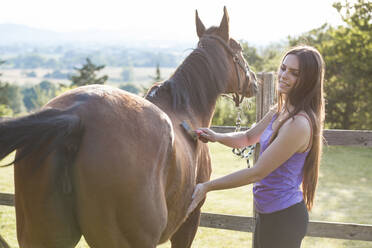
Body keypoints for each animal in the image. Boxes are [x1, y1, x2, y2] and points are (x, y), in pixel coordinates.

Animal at [0, 6, 256, 247]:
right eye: (239, 49)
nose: (254, 81)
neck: (187, 109)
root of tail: (75, 117)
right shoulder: (188, 223)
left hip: (44, 236)